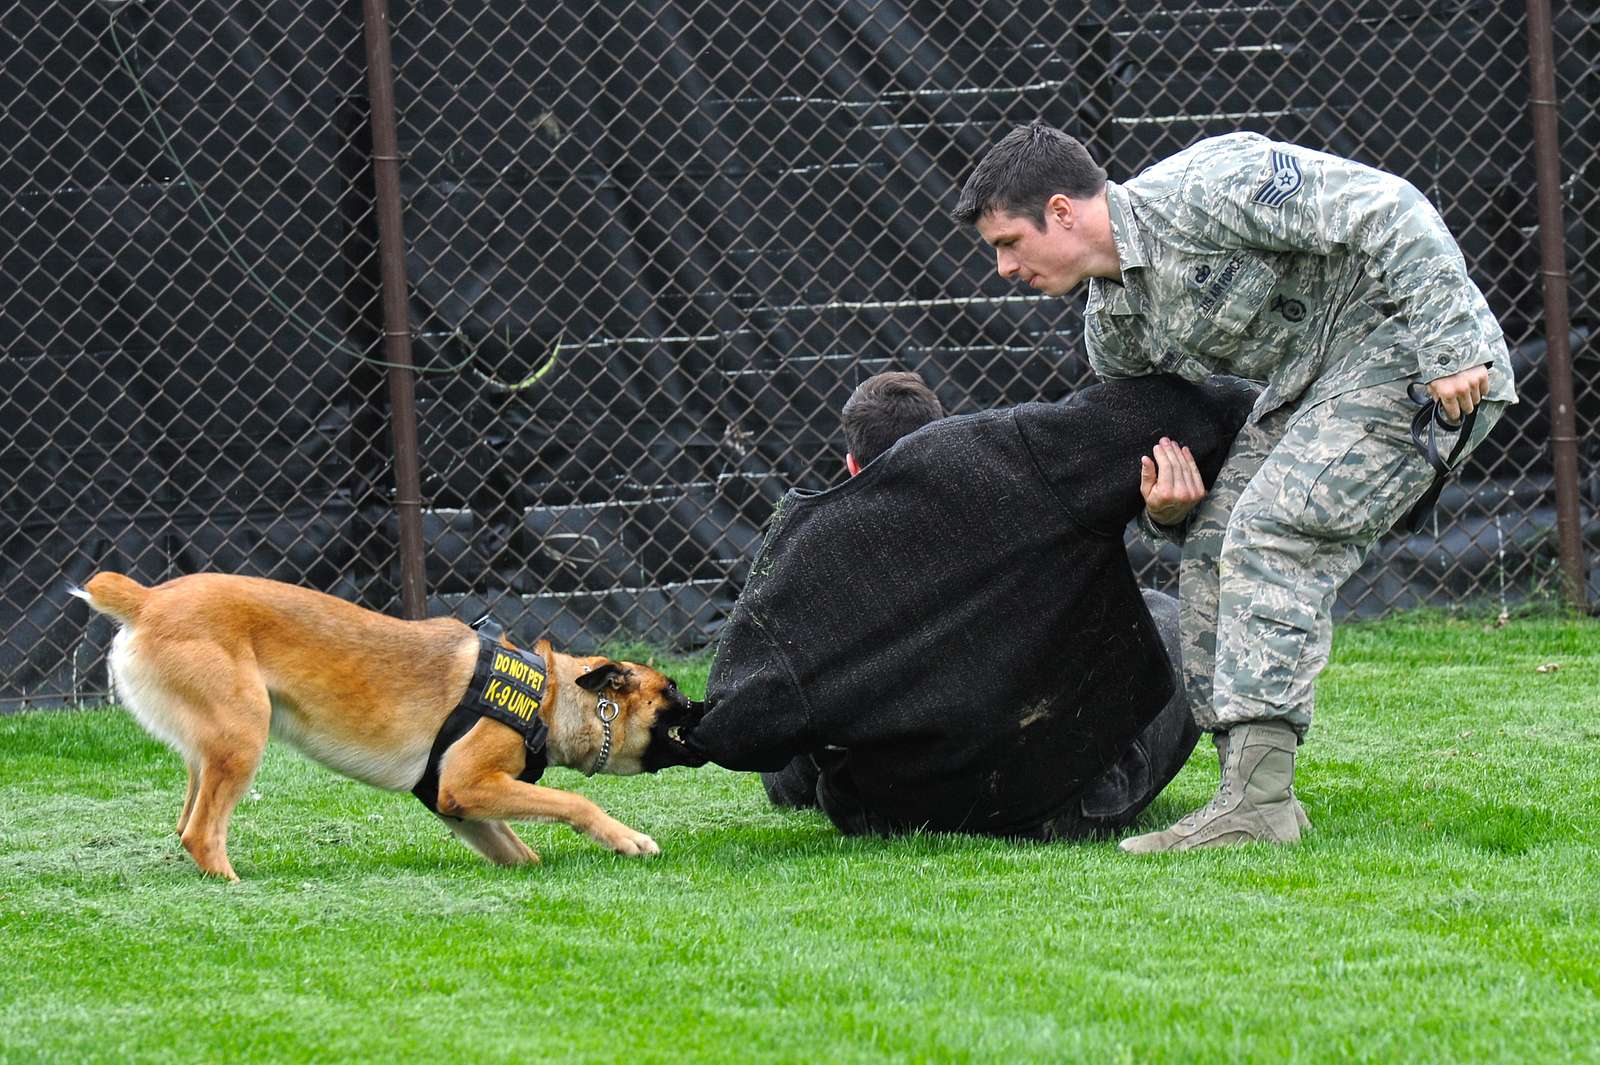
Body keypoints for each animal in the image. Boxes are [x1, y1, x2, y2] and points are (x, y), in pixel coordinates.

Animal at [70, 572, 707, 876]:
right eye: (672, 690)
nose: (706, 706)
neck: (549, 697)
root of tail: (146, 600)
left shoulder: (456, 803)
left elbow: (521, 854)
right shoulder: (469, 783)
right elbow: (577, 802)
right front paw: (627, 838)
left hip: (211, 749)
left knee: (187, 823)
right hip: (243, 736)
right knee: (202, 833)